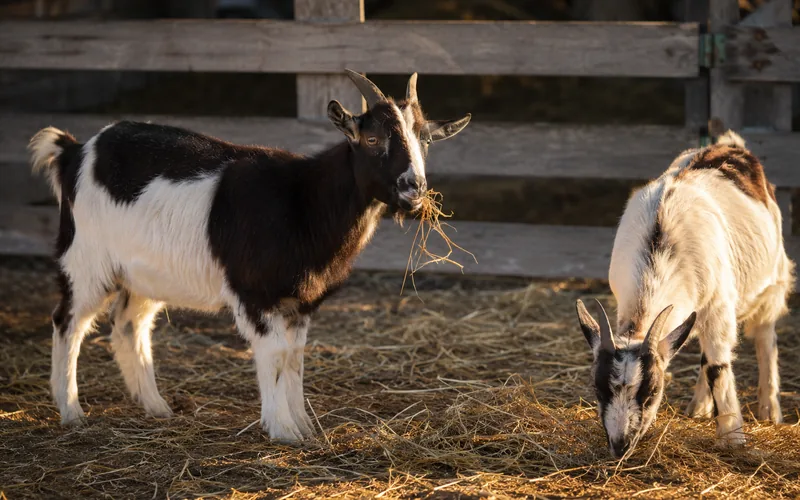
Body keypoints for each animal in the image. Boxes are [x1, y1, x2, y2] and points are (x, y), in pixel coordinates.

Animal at [28, 70, 471, 442]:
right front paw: (282, 430)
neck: (303, 200)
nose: (414, 188)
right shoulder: (255, 294)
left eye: (425, 140)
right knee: (67, 322)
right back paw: (72, 411)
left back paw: (157, 408)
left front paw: (304, 426)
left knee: (128, 326)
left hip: (143, 273)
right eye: (372, 139)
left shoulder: (299, 302)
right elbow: (273, 356)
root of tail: (74, 152)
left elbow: (294, 358)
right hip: (85, 258)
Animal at [575, 128, 794, 458]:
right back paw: (699, 406)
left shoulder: (719, 305)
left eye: (652, 391)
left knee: (764, 336)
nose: (620, 445)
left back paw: (770, 410)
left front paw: (732, 437)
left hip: (772, 280)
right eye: (598, 388)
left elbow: (718, 365)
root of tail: (730, 144)